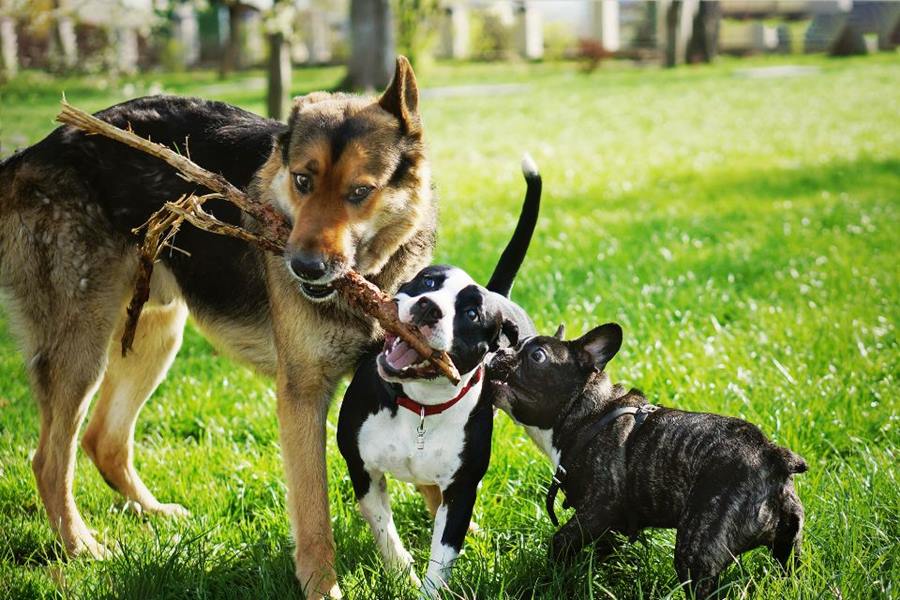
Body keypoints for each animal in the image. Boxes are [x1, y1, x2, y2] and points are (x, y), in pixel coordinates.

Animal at [0, 58, 434, 596]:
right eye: (302, 181)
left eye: (360, 193)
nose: (304, 268)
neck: (371, 282)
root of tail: (33, 152)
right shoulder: (302, 396)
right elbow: (314, 511)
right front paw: (322, 586)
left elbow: (430, 478)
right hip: (84, 346)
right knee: (49, 460)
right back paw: (82, 547)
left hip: (155, 334)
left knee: (104, 439)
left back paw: (151, 513)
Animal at [334, 157, 536, 596]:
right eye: (428, 282)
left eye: (472, 314)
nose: (429, 307)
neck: (420, 406)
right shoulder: (364, 471)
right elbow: (386, 534)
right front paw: (401, 577)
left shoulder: (460, 492)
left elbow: (442, 557)